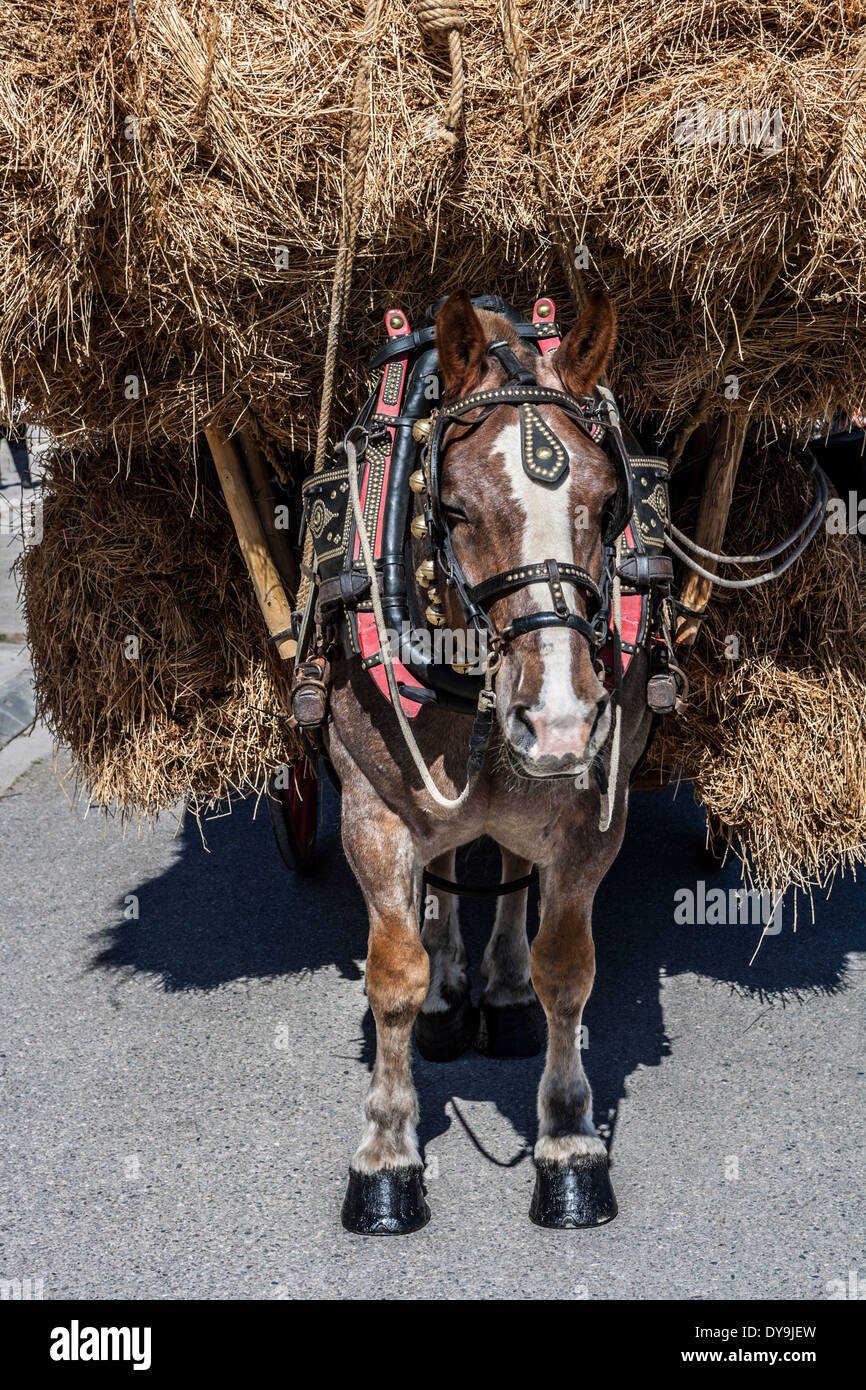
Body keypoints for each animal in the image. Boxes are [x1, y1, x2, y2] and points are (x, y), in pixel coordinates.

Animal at [325, 287, 655, 1233]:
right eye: (456, 511)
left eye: (611, 504)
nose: (559, 721)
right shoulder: (369, 807)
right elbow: (393, 974)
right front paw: (387, 1153)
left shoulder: (590, 814)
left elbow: (567, 969)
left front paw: (569, 1142)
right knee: (442, 878)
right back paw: (450, 995)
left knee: (506, 866)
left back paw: (500, 993)